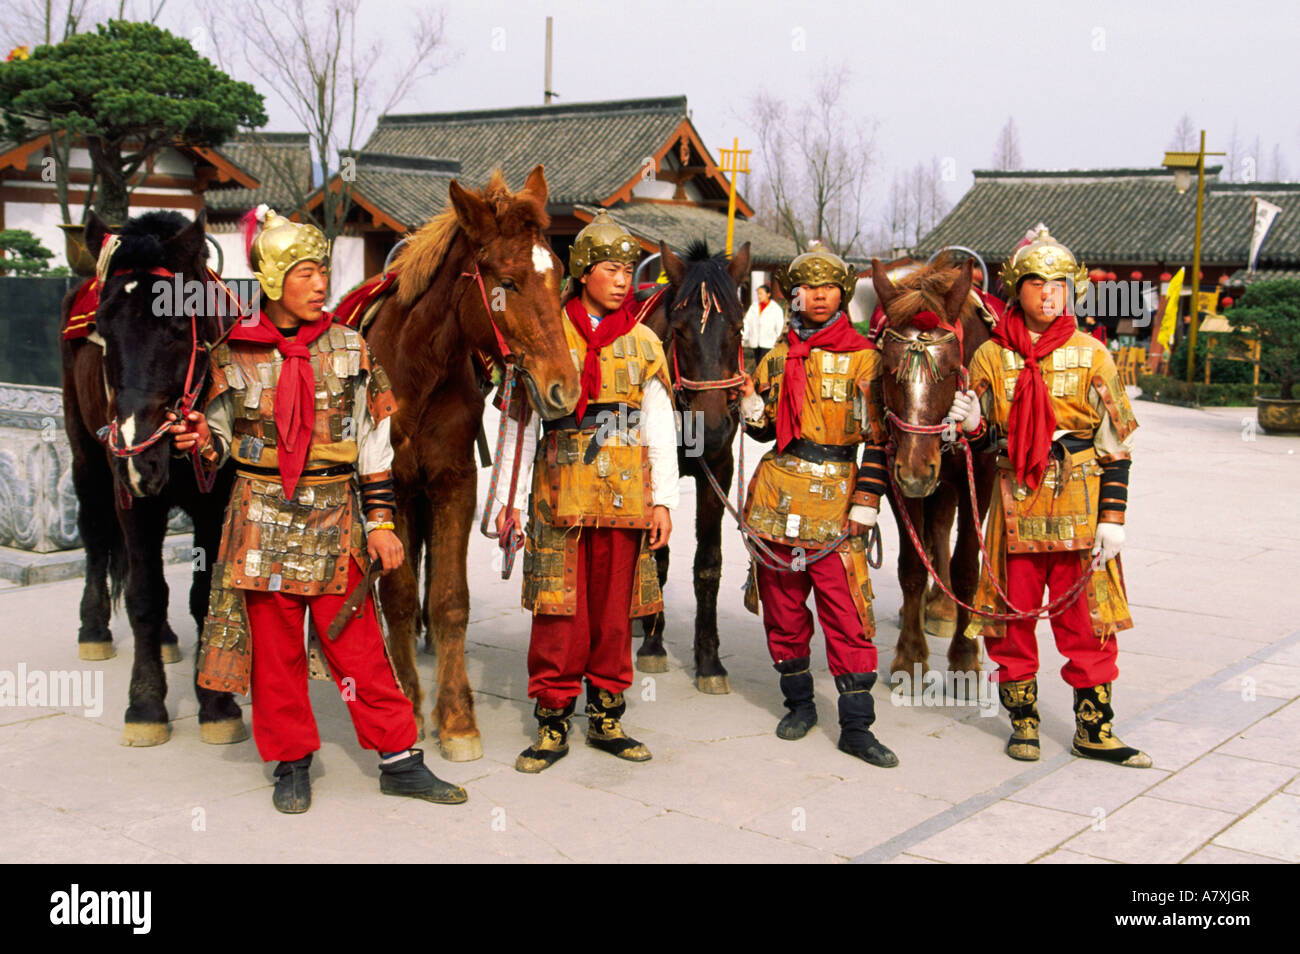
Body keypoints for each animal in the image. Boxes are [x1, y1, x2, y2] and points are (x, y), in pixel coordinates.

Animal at [61, 209, 244, 748]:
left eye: (177, 329)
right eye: (102, 329)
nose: (136, 452)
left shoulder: (214, 498)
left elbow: (203, 593)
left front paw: (216, 703)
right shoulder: (133, 494)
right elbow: (143, 594)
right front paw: (144, 704)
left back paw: (163, 640)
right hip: (86, 456)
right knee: (95, 534)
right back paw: (94, 629)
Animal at [358, 164, 577, 764]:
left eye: (560, 276)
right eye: (508, 280)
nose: (564, 387)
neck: (417, 371)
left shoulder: (453, 481)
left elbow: (451, 599)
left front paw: (456, 717)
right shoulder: (395, 487)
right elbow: (398, 596)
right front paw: (409, 702)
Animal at [637, 239, 754, 696]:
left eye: (737, 329)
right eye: (681, 330)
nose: (712, 426)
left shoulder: (718, 468)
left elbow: (708, 561)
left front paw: (709, 660)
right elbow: (657, 554)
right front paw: (653, 641)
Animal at [868, 259, 998, 681]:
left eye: (953, 369)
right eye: (888, 370)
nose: (917, 471)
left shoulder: (981, 475)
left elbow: (967, 566)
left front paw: (965, 656)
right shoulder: (895, 473)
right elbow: (912, 565)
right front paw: (910, 655)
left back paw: (944, 607)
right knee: (936, 529)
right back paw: (936, 605)